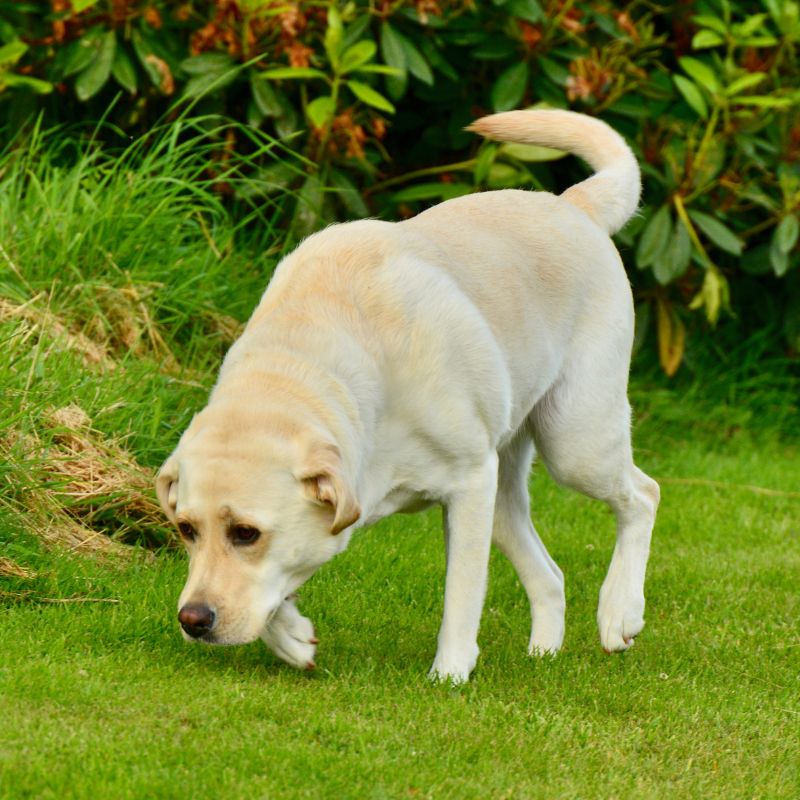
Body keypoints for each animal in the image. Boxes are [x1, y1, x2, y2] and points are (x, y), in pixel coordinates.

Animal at [155, 109, 656, 684]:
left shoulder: (469, 485)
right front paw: (292, 638)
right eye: (186, 529)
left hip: (574, 443)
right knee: (551, 576)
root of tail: (573, 203)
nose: (192, 620)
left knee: (643, 495)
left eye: (246, 533)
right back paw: (544, 655)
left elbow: (462, 594)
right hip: (505, 493)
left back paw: (620, 611)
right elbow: (283, 581)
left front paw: (450, 675)